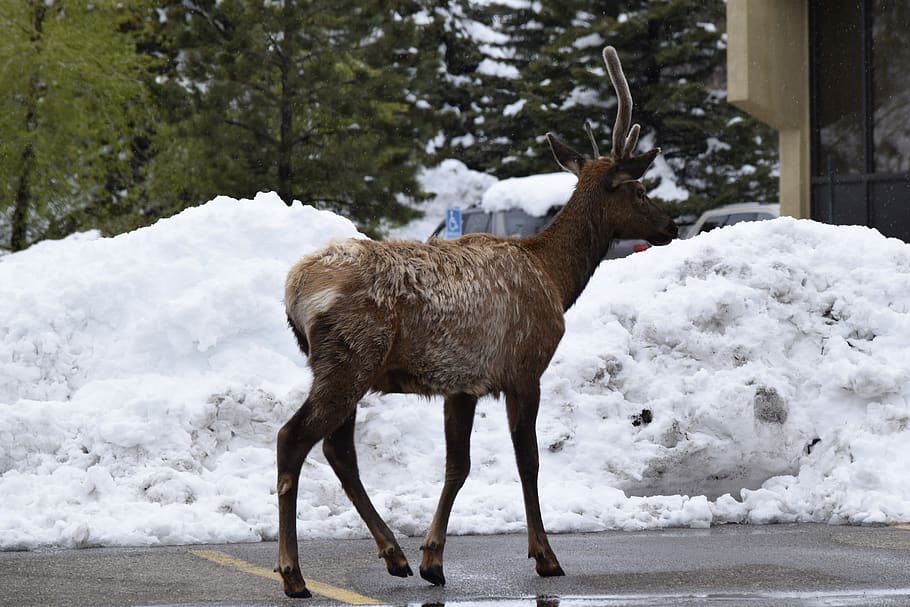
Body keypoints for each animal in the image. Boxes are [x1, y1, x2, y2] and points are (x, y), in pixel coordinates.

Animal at [276, 46, 678, 598]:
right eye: (638, 189)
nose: (671, 225)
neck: (555, 277)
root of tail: (295, 287)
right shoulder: (524, 369)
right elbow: (528, 461)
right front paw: (545, 556)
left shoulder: (461, 382)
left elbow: (456, 466)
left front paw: (432, 559)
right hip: (349, 359)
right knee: (293, 439)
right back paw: (293, 574)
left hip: (343, 367)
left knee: (339, 450)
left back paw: (394, 555)